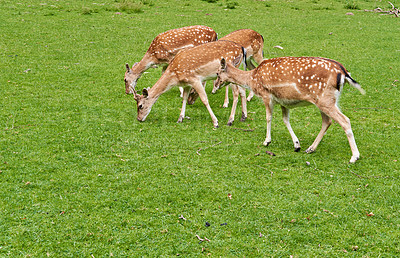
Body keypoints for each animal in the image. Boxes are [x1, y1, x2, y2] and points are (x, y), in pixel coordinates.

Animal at [216, 56, 366, 163]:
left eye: (217, 73)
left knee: (345, 120)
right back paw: (310, 148)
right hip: (326, 100)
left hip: (325, 99)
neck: (252, 79)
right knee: (327, 121)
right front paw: (297, 145)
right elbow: (285, 119)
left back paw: (354, 157)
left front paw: (266, 141)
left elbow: (268, 118)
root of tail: (344, 72)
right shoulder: (284, 101)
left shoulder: (266, 95)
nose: (215, 87)